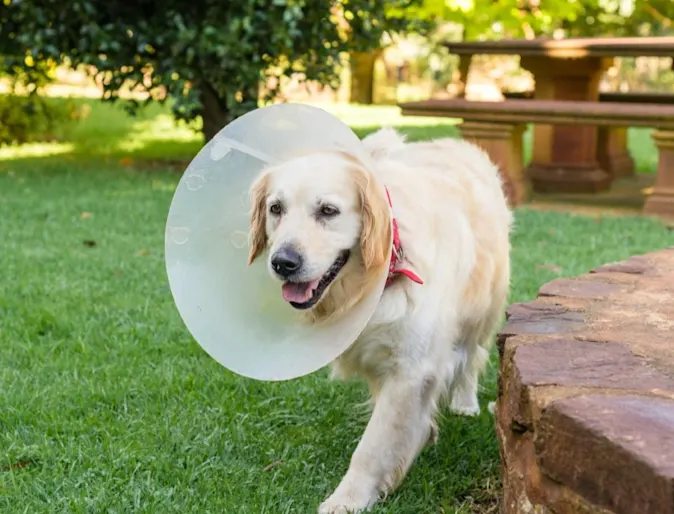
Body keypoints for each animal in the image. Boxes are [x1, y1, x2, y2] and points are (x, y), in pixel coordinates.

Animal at [247, 126, 510, 510]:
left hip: (482, 312)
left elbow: (372, 446)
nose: (283, 262)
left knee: (471, 355)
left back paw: (465, 403)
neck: (381, 276)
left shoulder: (411, 369)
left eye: (328, 210)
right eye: (275, 208)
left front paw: (348, 498)